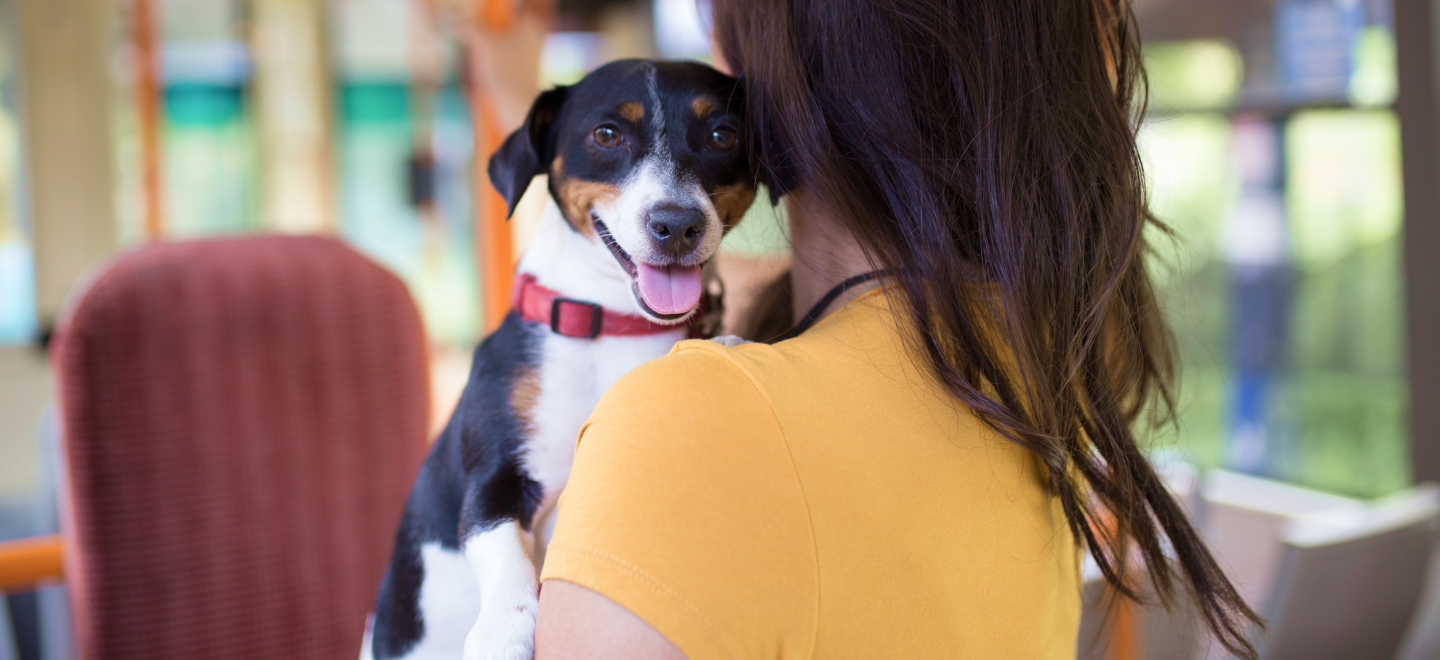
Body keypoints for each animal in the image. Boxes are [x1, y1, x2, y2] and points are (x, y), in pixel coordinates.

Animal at [360, 58, 760, 660]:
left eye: (722, 135)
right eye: (607, 135)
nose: (677, 224)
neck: (614, 324)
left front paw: (726, 344)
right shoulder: (496, 475)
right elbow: (500, 548)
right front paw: (506, 629)